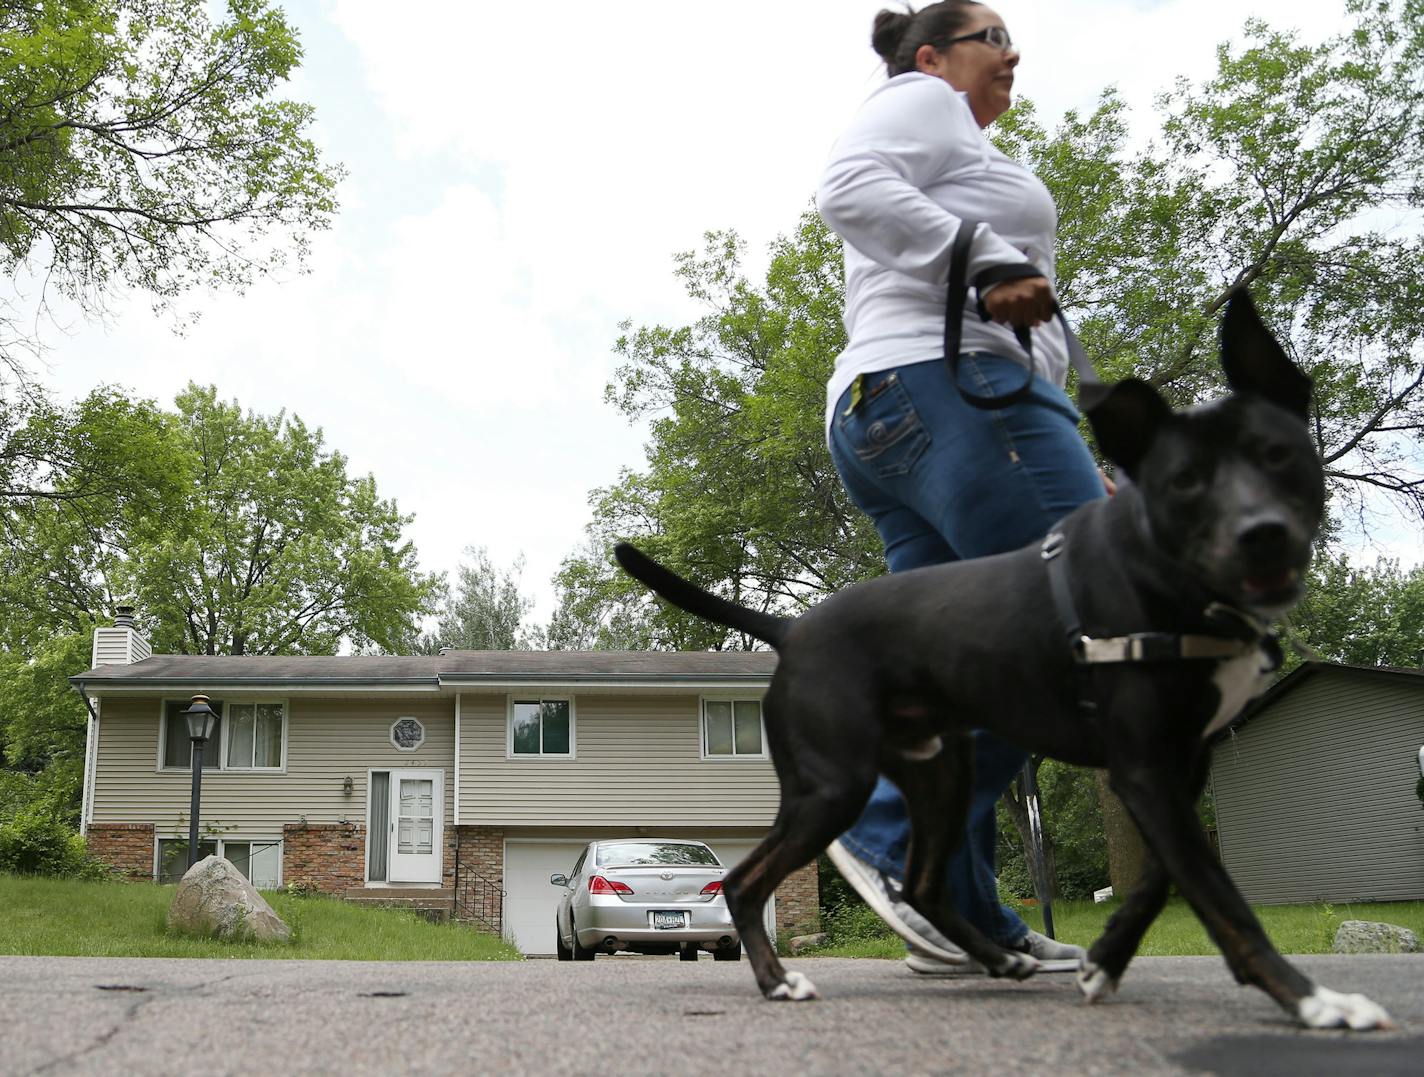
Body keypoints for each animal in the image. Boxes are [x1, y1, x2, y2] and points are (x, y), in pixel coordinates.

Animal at [615, 290, 1389, 1031]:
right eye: (1185, 481)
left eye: (1278, 454)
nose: (1263, 535)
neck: (1158, 570)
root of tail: (794, 627)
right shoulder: (1146, 770)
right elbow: (1223, 902)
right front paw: (1314, 1000)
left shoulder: (1179, 767)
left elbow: (1163, 878)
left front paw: (1106, 960)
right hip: (834, 784)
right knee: (745, 880)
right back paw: (779, 980)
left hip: (941, 771)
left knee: (923, 883)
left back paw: (996, 957)